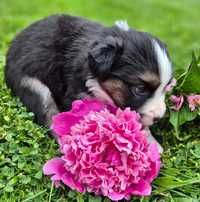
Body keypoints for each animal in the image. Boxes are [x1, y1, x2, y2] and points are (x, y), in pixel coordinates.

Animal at [5, 14, 173, 152]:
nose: (159, 117)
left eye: (166, 88)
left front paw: (151, 142)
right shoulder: (77, 94)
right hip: (33, 86)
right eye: (140, 89)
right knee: (49, 115)